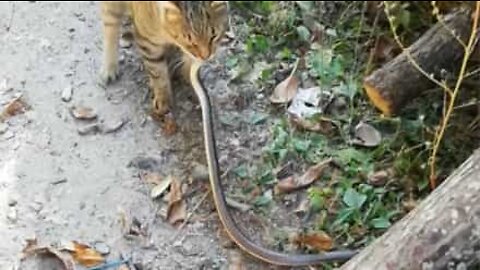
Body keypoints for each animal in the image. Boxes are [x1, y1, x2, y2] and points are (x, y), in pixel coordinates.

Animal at [99, 1, 229, 117]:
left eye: (213, 36)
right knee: (110, 26)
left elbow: (188, 64)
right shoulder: (148, 43)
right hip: (113, 8)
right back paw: (109, 67)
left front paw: (191, 83)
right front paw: (163, 98)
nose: (206, 56)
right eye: (190, 42)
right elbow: (158, 73)